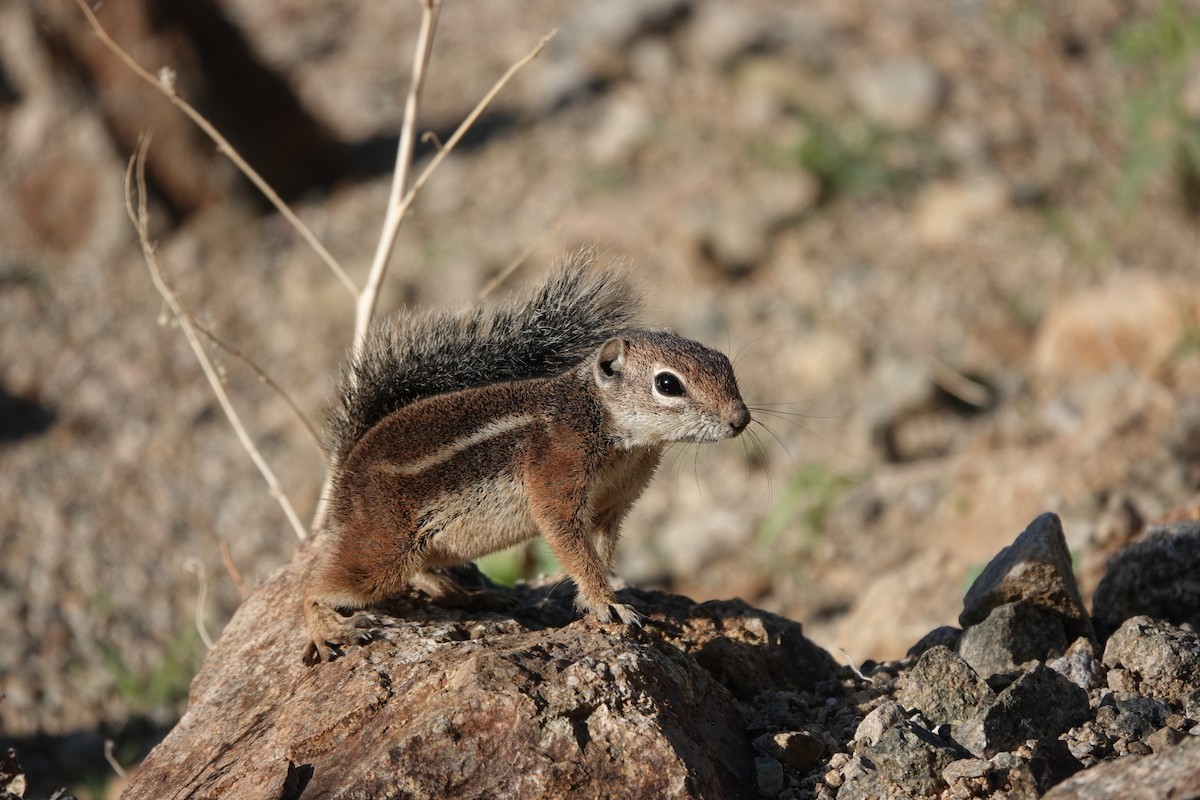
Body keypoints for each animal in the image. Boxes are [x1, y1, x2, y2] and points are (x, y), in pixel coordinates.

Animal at [304, 250, 751, 663]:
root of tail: (344, 469)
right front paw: (607, 602)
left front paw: (599, 596)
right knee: (315, 585)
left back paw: (470, 596)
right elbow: (568, 540)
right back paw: (327, 629)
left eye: (724, 363)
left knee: (421, 575)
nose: (741, 419)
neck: (607, 427)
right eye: (667, 384)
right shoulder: (557, 474)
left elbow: (601, 548)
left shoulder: (614, 504)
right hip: (385, 545)